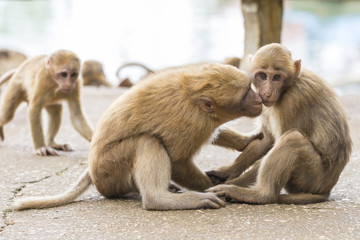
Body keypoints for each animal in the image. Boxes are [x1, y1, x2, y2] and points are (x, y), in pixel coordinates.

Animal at [13, 62, 264, 211]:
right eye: (245, 94)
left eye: (250, 88)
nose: (259, 99)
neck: (191, 95)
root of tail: (93, 171)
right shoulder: (192, 122)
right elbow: (178, 161)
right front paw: (215, 187)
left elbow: (215, 133)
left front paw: (245, 141)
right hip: (110, 170)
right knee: (147, 141)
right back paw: (159, 199)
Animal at [207, 43, 352, 204]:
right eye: (263, 76)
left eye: (276, 77)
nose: (267, 93)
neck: (289, 86)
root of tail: (326, 189)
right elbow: (266, 139)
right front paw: (228, 171)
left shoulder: (293, 101)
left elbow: (278, 140)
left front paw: (234, 182)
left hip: (312, 177)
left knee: (293, 138)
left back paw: (260, 194)